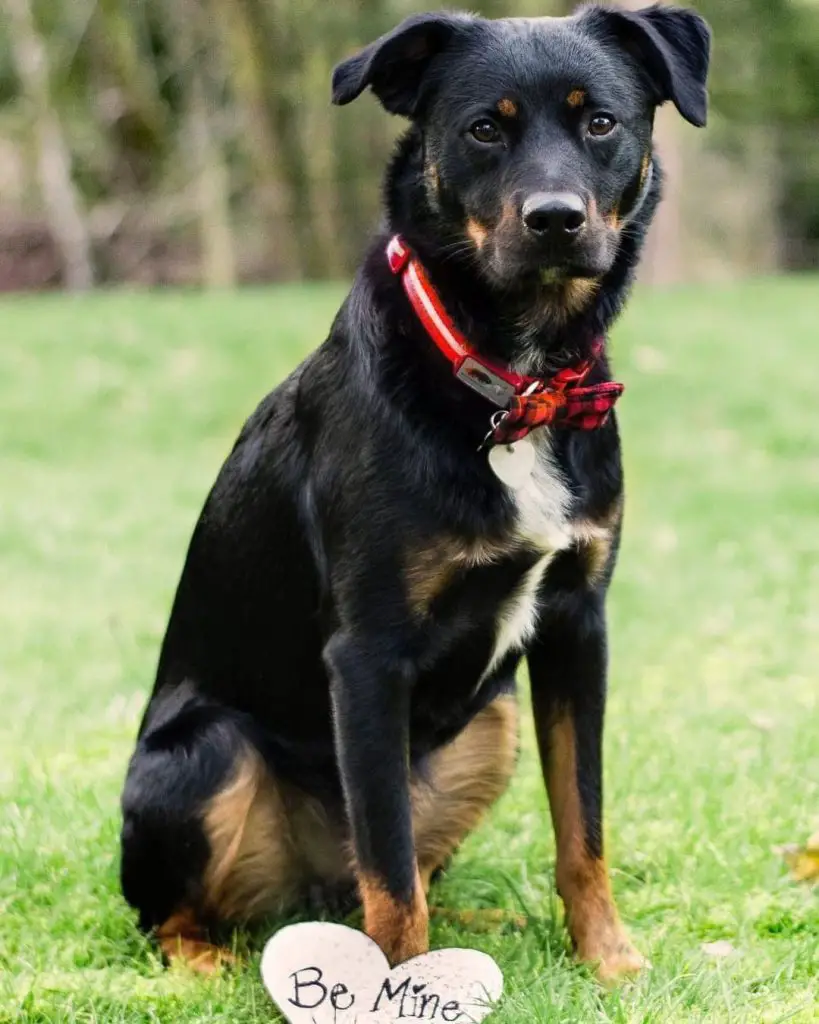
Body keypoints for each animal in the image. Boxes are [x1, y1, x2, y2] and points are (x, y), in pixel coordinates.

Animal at [119, 4, 708, 987]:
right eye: (482, 130)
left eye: (600, 122)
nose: (555, 220)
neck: (513, 382)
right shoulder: (367, 655)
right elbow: (390, 871)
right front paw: (399, 988)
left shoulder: (577, 626)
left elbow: (581, 827)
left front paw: (609, 960)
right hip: (205, 754)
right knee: (187, 912)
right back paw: (210, 964)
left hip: (490, 719)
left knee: (395, 873)